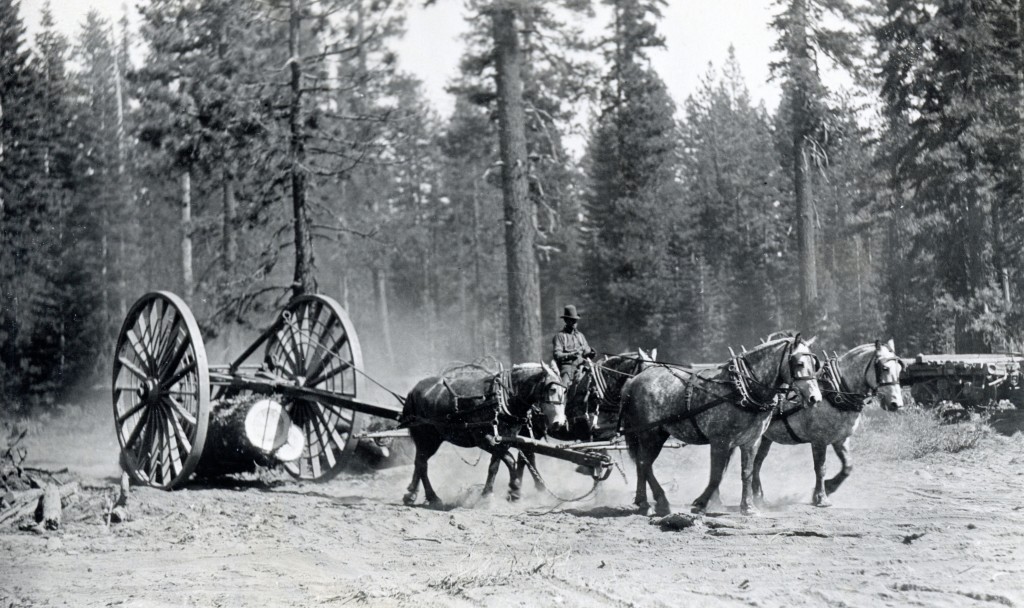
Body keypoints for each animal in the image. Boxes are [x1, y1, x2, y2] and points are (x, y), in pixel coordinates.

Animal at [397, 360, 565, 505]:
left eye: (565, 390)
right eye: (552, 389)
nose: (560, 423)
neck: (503, 398)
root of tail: (413, 390)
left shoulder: (504, 439)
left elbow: (495, 466)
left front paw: (495, 493)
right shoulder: (485, 439)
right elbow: (510, 460)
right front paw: (511, 490)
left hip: (434, 438)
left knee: (420, 462)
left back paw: (411, 493)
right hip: (425, 435)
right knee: (422, 464)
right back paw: (432, 497)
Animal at [614, 333, 823, 513]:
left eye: (815, 364)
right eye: (799, 363)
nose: (815, 398)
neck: (741, 389)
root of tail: (633, 380)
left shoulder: (751, 441)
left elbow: (746, 472)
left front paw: (748, 507)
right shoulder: (720, 441)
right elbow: (716, 475)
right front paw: (701, 503)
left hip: (656, 433)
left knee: (642, 464)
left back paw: (643, 502)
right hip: (650, 433)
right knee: (644, 463)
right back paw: (660, 502)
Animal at [753, 337, 905, 503]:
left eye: (899, 369)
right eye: (884, 368)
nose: (896, 404)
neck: (835, 391)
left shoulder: (841, 439)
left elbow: (848, 466)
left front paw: (830, 486)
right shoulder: (819, 440)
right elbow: (820, 468)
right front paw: (821, 497)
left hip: (765, 437)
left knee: (758, 461)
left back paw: (757, 494)